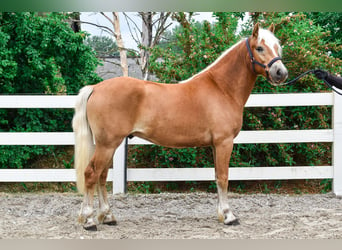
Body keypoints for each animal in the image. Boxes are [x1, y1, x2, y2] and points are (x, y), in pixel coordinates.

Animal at [72, 23, 288, 230]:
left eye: (278, 47)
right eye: (259, 47)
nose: (281, 73)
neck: (221, 88)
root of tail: (95, 88)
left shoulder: (215, 145)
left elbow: (216, 176)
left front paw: (221, 213)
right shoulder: (224, 142)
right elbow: (223, 177)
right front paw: (229, 216)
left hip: (109, 145)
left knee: (101, 176)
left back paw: (107, 216)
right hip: (107, 144)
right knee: (91, 174)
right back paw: (89, 221)